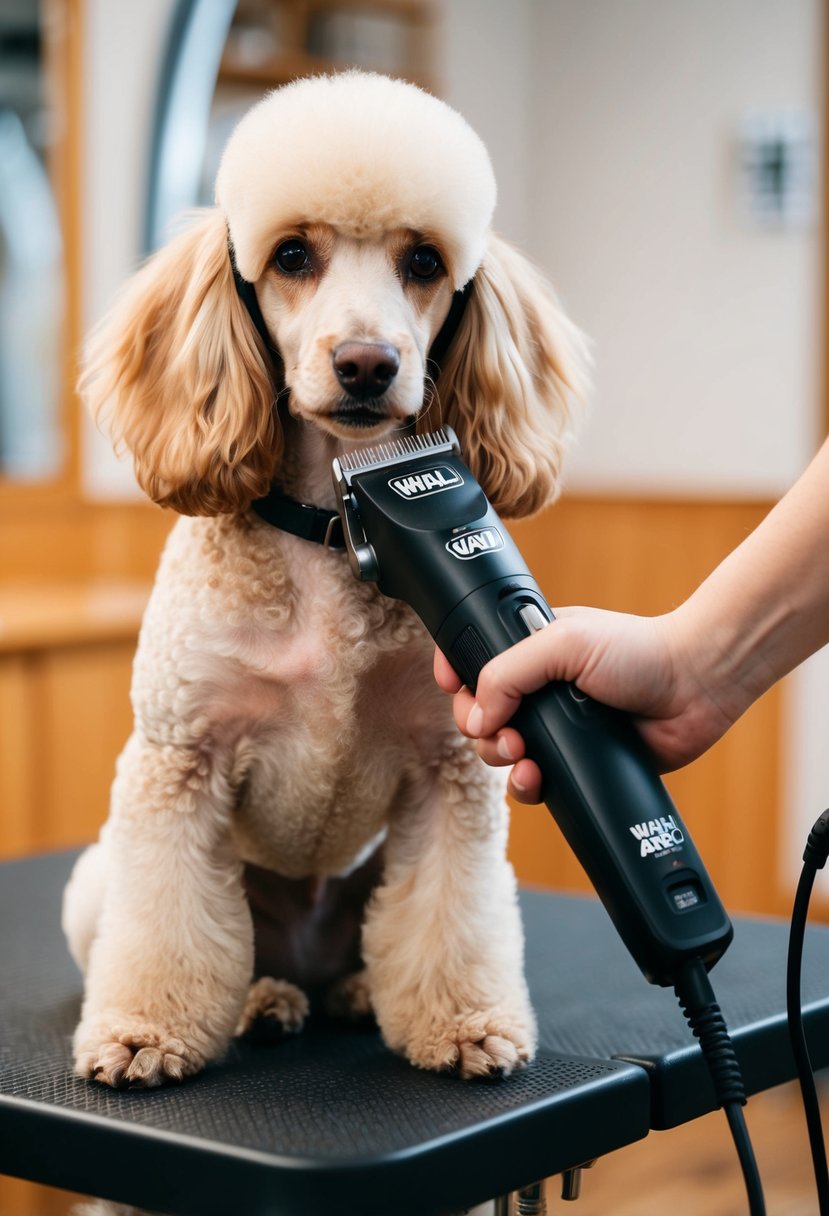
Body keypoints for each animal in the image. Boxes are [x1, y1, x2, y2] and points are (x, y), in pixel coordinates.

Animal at [62, 71, 581, 1089]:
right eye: (292, 256)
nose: (368, 364)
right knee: (220, 945)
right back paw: (262, 1001)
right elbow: (163, 925)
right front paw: (143, 1031)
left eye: (423, 262)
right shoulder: (178, 763)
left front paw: (463, 1023)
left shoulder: (449, 772)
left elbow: (452, 913)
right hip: (101, 883)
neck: (335, 534)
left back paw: (346, 991)